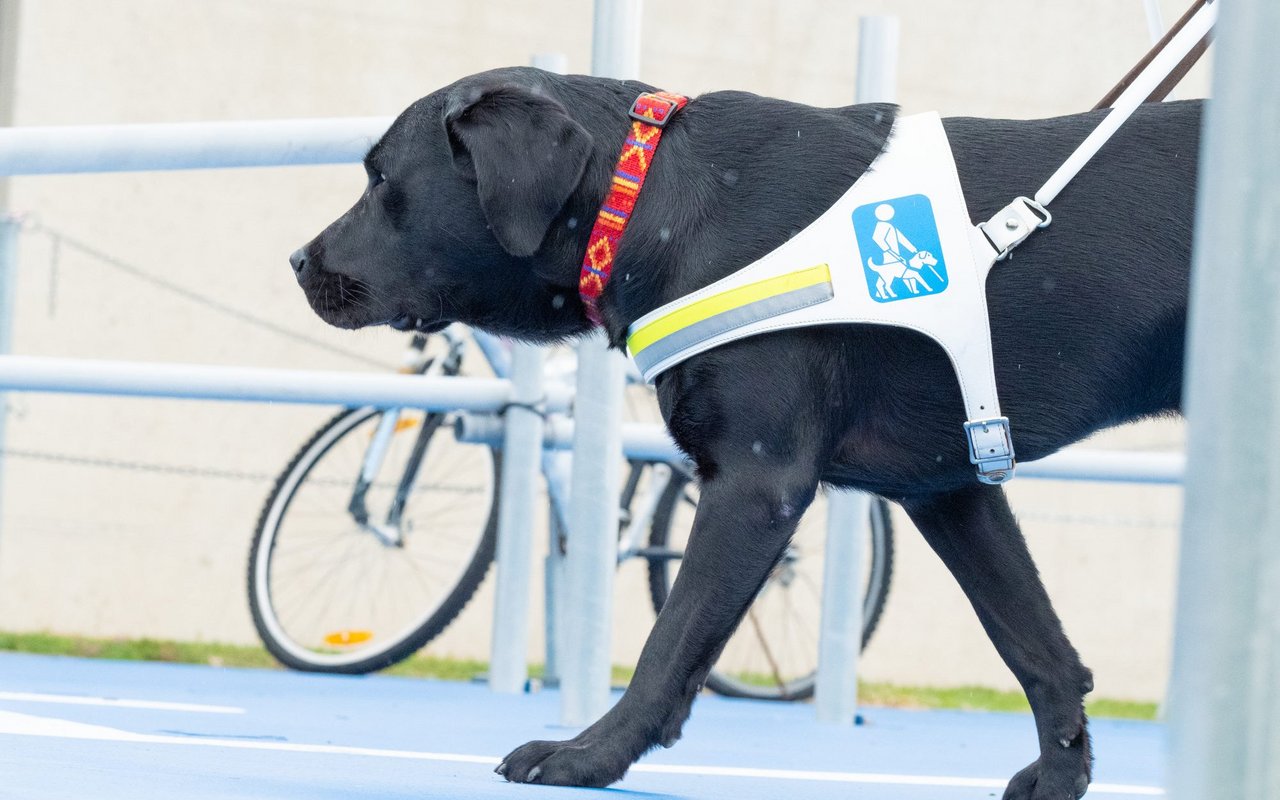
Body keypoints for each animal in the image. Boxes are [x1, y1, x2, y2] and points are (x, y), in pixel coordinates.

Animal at [290, 68, 1198, 798]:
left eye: (380, 178)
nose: (297, 261)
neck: (649, 199)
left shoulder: (756, 484)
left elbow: (669, 644)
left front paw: (588, 756)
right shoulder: (950, 490)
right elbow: (1037, 650)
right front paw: (1061, 775)